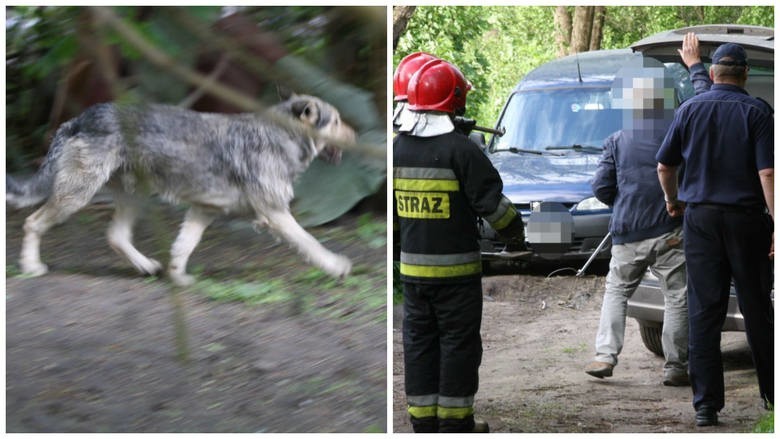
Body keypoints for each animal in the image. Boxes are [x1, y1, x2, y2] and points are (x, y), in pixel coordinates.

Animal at [8, 93, 356, 286]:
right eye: (337, 121)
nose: (357, 136)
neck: (281, 136)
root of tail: (77, 119)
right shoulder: (275, 214)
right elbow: (311, 243)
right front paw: (337, 267)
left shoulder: (203, 210)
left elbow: (183, 247)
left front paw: (177, 277)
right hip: (77, 195)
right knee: (32, 222)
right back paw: (31, 267)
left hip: (135, 196)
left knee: (115, 236)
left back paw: (147, 266)